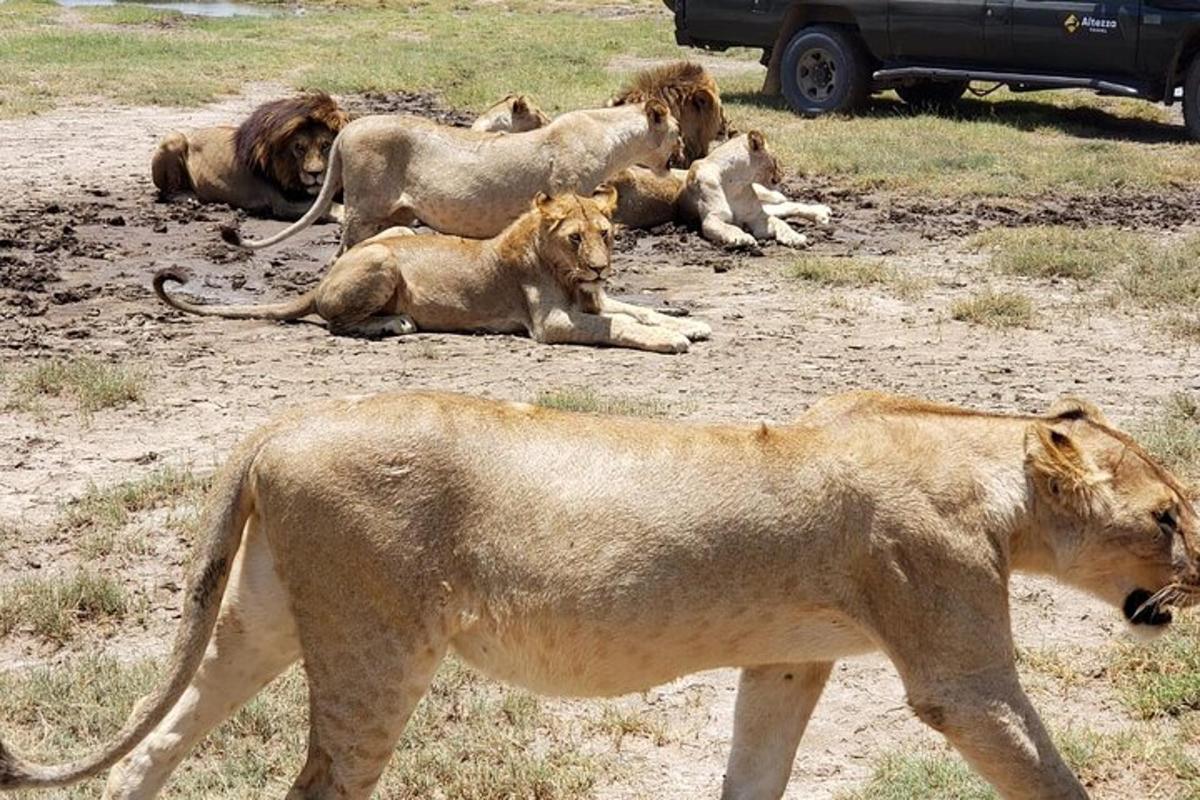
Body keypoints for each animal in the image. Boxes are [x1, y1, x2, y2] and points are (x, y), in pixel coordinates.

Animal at [2, 391, 1200, 796]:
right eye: (1168, 514)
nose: (1198, 572)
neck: (990, 473)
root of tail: (281, 423)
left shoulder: (788, 656)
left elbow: (755, 772)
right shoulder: (960, 677)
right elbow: (1051, 777)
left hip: (264, 621)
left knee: (162, 731)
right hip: (378, 648)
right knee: (317, 783)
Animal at [146, 92, 348, 219]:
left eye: (326, 145)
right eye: (299, 147)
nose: (315, 173)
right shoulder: (283, 203)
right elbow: (330, 206)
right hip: (174, 138)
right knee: (168, 192)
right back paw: (190, 199)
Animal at [157, 188, 710, 352]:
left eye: (607, 234)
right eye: (575, 238)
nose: (598, 267)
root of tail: (320, 279)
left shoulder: (594, 296)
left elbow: (635, 309)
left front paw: (690, 324)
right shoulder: (551, 324)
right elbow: (615, 325)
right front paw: (671, 339)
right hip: (382, 257)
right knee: (335, 321)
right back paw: (395, 322)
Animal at [224, 100, 676, 251]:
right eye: (674, 129)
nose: (682, 151)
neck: (612, 137)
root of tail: (349, 129)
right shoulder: (567, 194)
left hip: (392, 214)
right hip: (363, 208)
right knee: (343, 249)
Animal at [614, 131, 830, 247]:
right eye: (775, 159)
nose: (783, 173)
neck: (736, 183)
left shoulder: (757, 216)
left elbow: (780, 223)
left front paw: (795, 237)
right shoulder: (713, 219)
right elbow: (728, 227)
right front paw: (741, 237)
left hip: (767, 195)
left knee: (784, 203)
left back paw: (823, 212)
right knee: (783, 207)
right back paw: (823, 214)